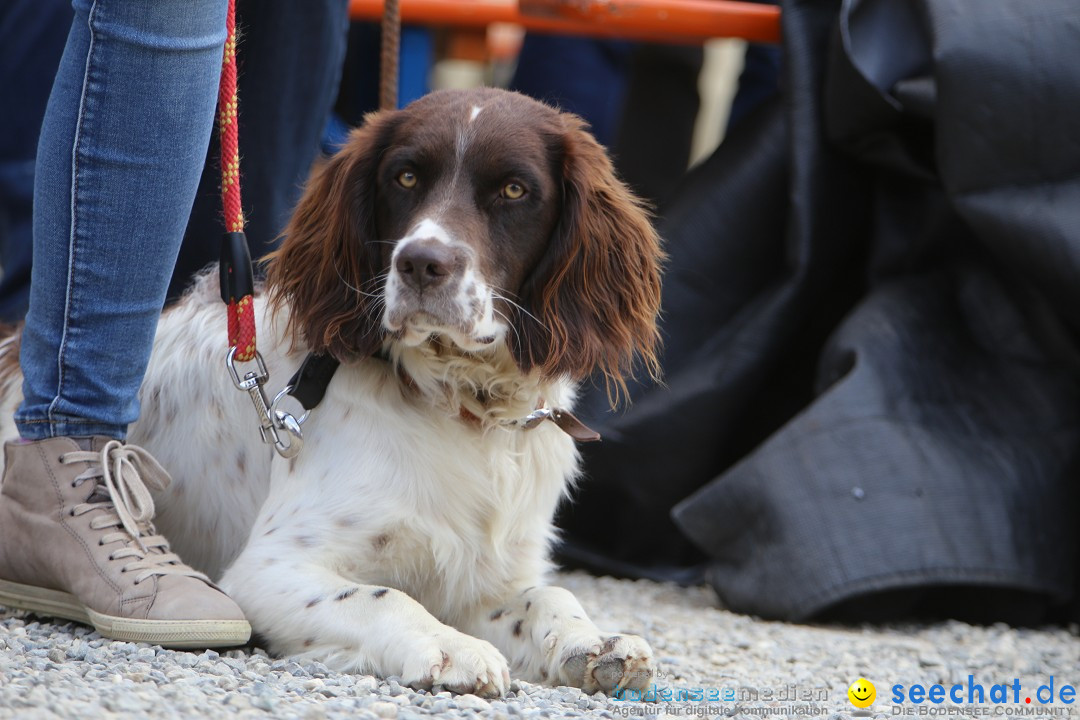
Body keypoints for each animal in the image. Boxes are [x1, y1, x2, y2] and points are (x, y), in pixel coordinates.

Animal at [0, 85, 660, 699]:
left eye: (515, 190)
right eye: (406, 176)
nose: (421, 263)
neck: (457, 402)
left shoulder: (488, 576)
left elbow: (550, 596)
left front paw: (593, 643)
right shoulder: (266, 570)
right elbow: (385, 596)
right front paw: (452, 648)